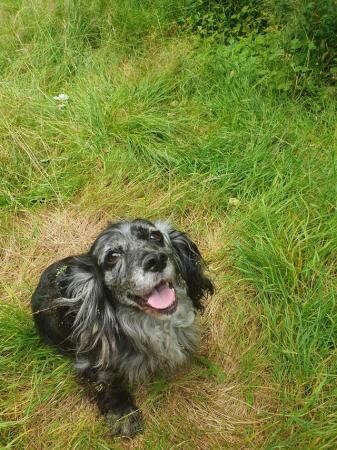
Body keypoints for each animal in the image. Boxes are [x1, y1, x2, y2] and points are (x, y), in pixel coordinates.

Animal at [32, 218, 214, 436]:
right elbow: (106, 382)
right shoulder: (89, 361)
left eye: (155, 236)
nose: (156, 260)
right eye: (112, 256)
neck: (153, 324)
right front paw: (122, 414)